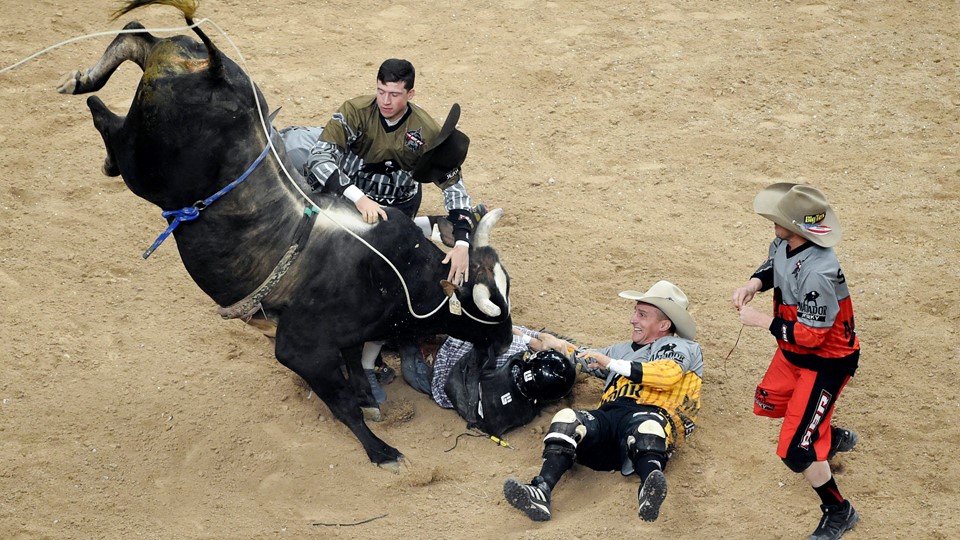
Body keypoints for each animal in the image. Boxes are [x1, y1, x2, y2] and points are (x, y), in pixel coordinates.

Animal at [56, 0, 512, 470]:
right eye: (482, 305)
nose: (506, 341)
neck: (397, 275)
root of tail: (215, 69)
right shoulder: (302, 349)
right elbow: (342, 403)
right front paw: (381, 450)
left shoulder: (349, 337)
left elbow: (355, 370)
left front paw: (369, 398)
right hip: (144, 160)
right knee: (105, 117)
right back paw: (87, 99)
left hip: (161, 88)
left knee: (137, 37)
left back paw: (83, 77)